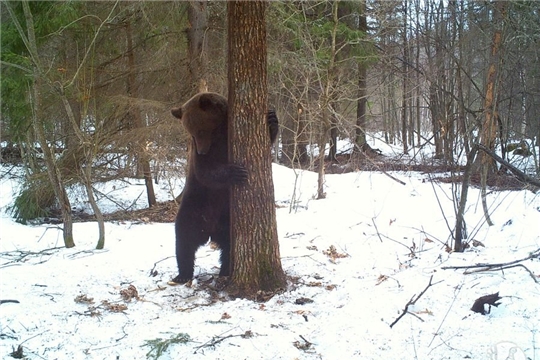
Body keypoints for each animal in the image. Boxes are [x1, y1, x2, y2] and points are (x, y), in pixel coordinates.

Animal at [169, 90, 278, 284]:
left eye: (200, 130)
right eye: (191, 133)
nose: (202, 150)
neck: (218, 134)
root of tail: (210, 231)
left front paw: (272, 118)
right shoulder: (201, 159)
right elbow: (206, 172)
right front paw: (237, 173)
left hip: (226, 218)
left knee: (227, 246)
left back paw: (225, 270)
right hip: (194, 207)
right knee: (184, 238)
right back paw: (182, 274)